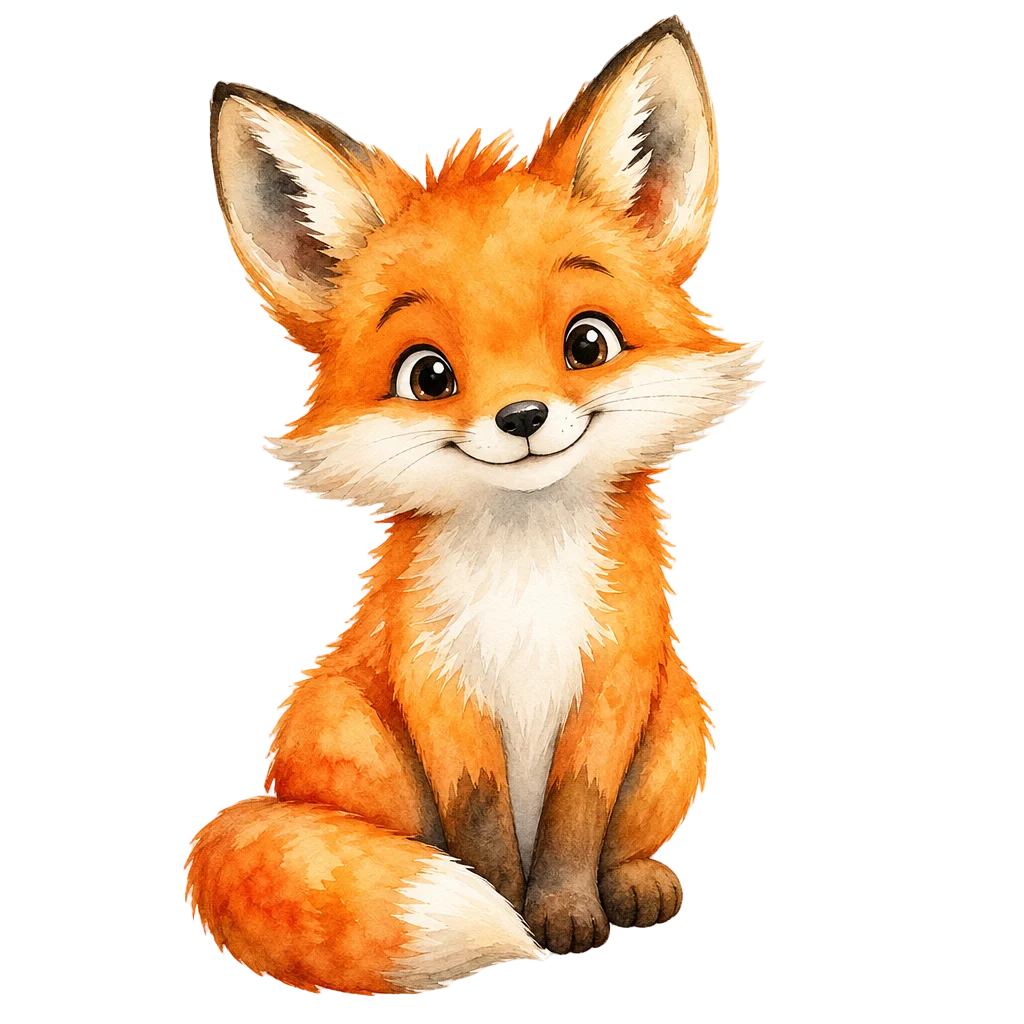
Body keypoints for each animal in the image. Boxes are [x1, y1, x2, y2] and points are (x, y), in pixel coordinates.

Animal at [189, 14, 764, 998]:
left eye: (587, 342)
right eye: (429, 375)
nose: (523, 418)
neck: (526, 580)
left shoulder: (612, 679)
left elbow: (575, 819)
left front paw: (566, 913)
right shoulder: (440, 689)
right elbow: (483, 829)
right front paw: (505, 908)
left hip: (684, 720)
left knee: (630, 838)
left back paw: (638, 882)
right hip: (352, 732)